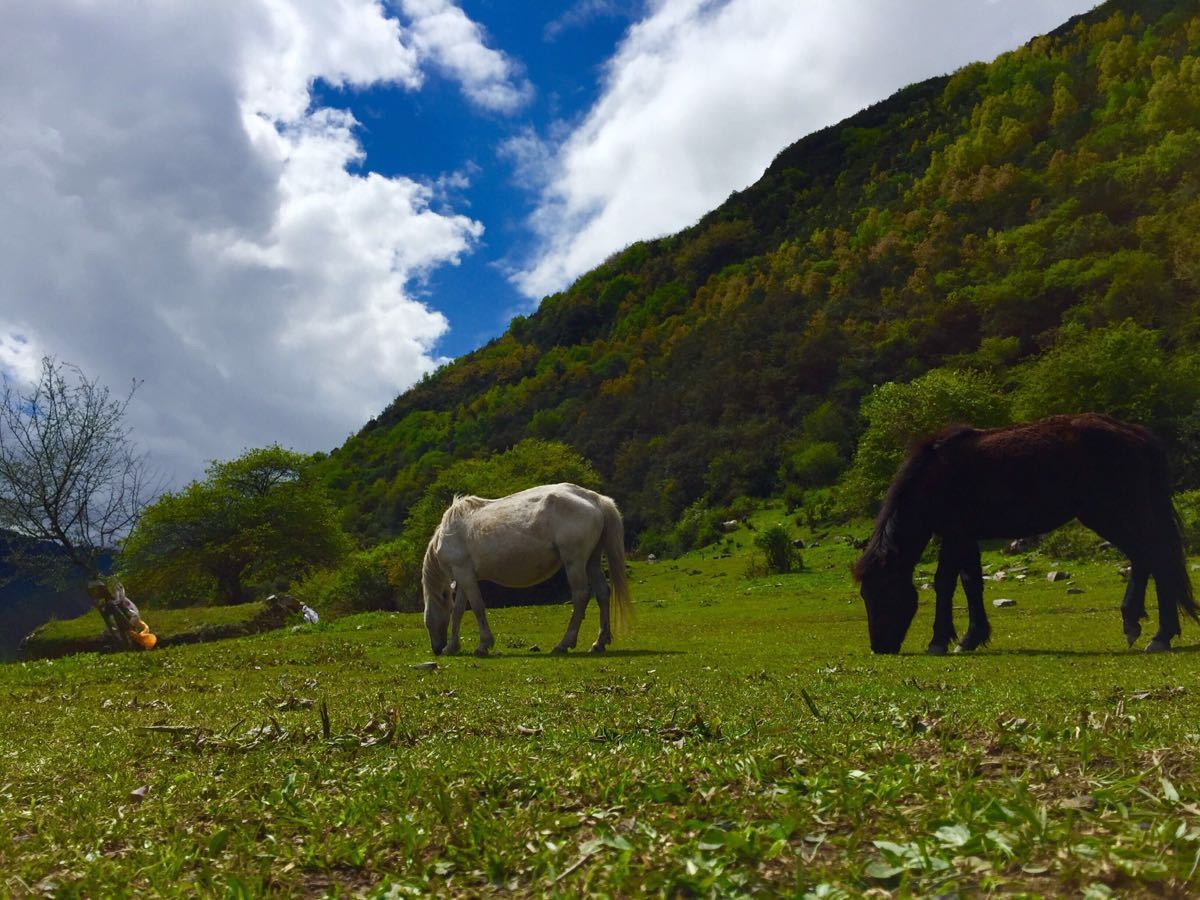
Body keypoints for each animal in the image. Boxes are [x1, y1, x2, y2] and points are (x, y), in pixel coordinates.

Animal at [420, 487, 628, 657]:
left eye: (427, 622)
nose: (436, 649)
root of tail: (595, 499)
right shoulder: (464, 577)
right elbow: (458, 611)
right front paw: (452, 647)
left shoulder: (463, 574)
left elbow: (477, 607)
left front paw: (483, 645)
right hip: (591, 561)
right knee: (602, 593)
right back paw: (599, 642)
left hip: (574, 562)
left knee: (581, 596)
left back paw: (563, 644)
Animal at [849, 415, 1195, 657]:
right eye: (865, 594)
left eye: (883, 592)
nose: (880, 647)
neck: (933, 476)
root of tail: (1135, 434)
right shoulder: (965, 537)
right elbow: (970, 582)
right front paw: (971, 637)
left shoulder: (955, 535)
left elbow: (945, 583)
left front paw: (940, 641)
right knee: (1149, 558)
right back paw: (1149, 628)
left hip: (1111, 514)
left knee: (1152, 557)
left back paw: (1156, 634)